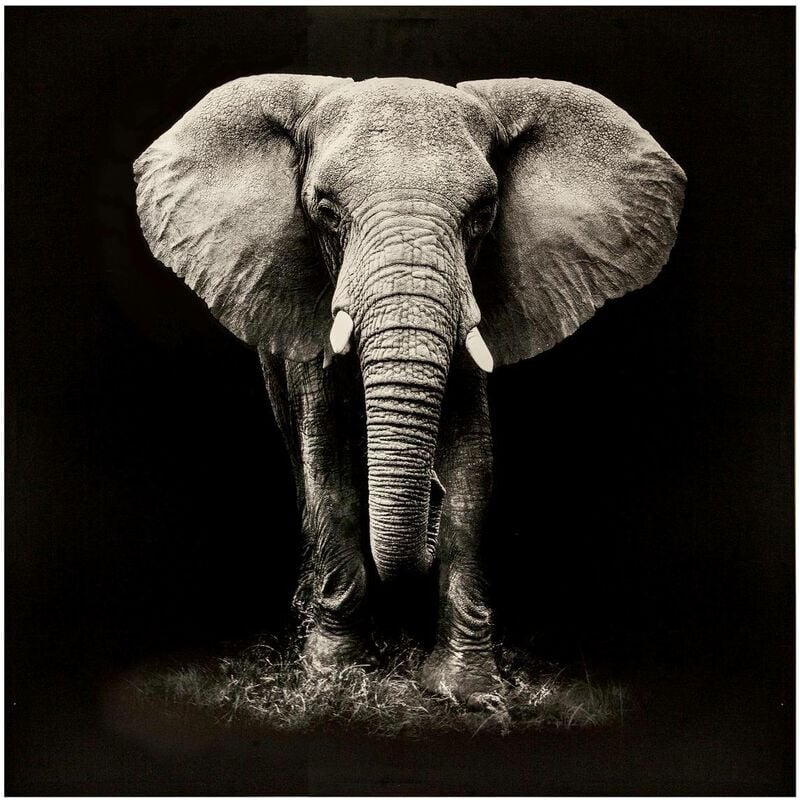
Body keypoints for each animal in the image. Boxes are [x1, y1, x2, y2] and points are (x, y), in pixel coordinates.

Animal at [134, 74, 685, 702]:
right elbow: (328, 467)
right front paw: (335, 677)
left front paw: (467, 690)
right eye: (325, 210)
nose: (430, 495)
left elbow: (473, 470)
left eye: (483, 213)